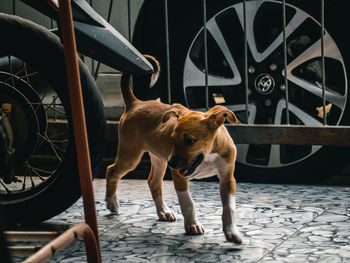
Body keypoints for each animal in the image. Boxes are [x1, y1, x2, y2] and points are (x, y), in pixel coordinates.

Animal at [105, 55, 242, 245]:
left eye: (190, 141)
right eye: (172, 139)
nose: (172, 163)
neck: (208, 155)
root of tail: (135, 103)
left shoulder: (228, 178)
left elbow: (229, 207)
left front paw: (232, 232)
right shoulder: (179, 176)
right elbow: (188, 203)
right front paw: (192, 226)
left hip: (159, 159)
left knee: (153, 182)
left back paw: (163, 212)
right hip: (132, 155)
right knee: (111, 171)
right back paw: (112, 204)